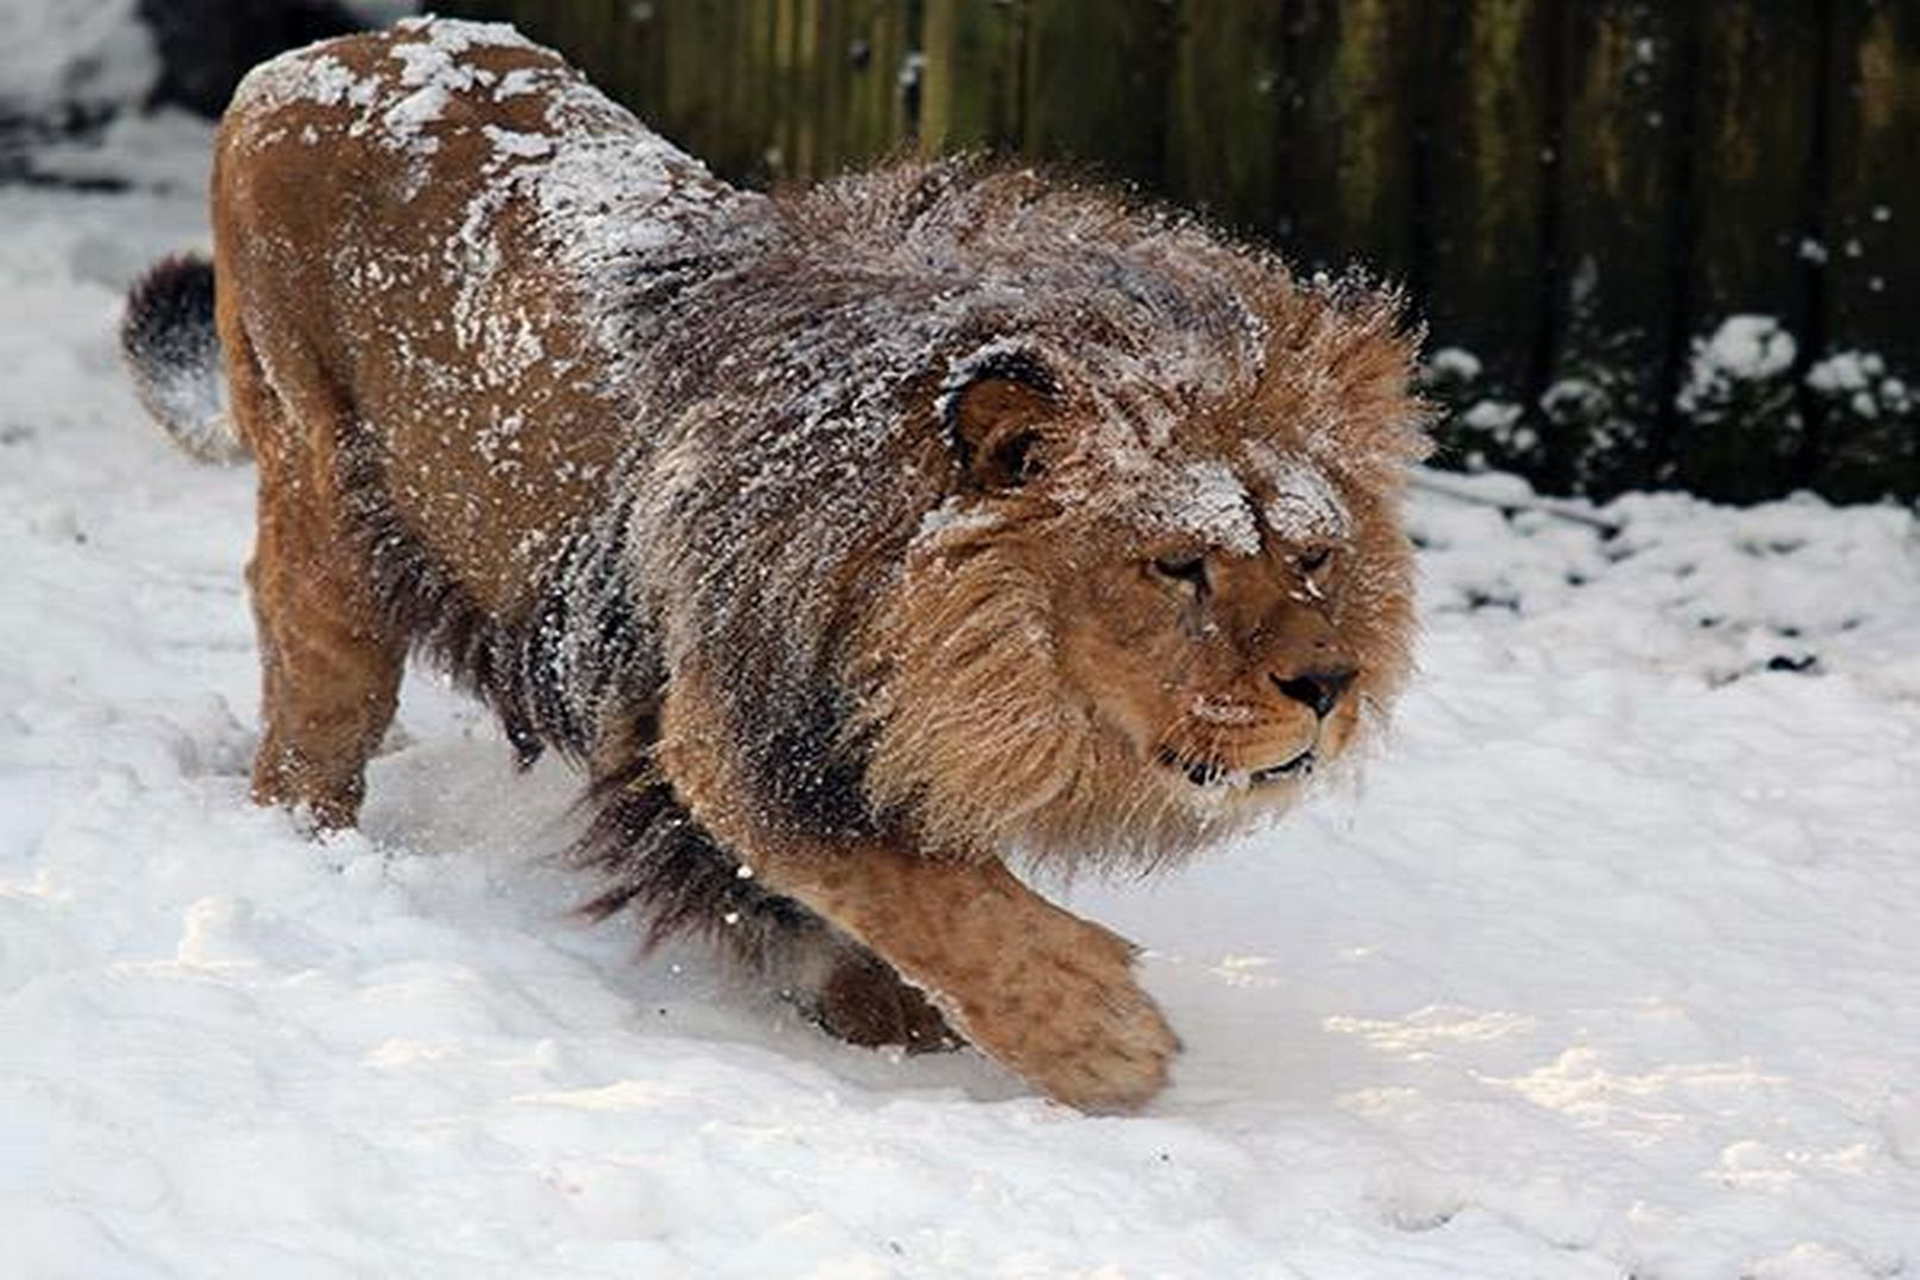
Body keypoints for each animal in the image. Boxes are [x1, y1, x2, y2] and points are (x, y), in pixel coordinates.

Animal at [120, 17, 1428, 1113]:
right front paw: (1098, 1036)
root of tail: (316, 55)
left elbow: (889, 897)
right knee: (315, 701)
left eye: (1315, 556)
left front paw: (900, 1021)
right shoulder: (732, 734)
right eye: (1178, 565)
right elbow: (923, 890)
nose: (1330, 686)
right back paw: (307, 841)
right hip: (325, 498)